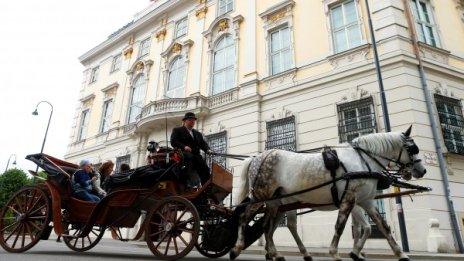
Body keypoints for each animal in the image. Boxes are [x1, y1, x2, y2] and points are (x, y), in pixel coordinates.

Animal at [230, 126, 426, 260]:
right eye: (412, 149)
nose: (422, 170)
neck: (363, 160)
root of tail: (256, 157)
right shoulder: (350, 198)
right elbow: (340, 226)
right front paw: (336, 253)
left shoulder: (366, 201)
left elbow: (380, 226)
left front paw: (401, 254)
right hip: (260, 196)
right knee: (244, 218)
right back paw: (237, 248)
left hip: (275, 202)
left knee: (267, 226)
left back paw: (275, 253)